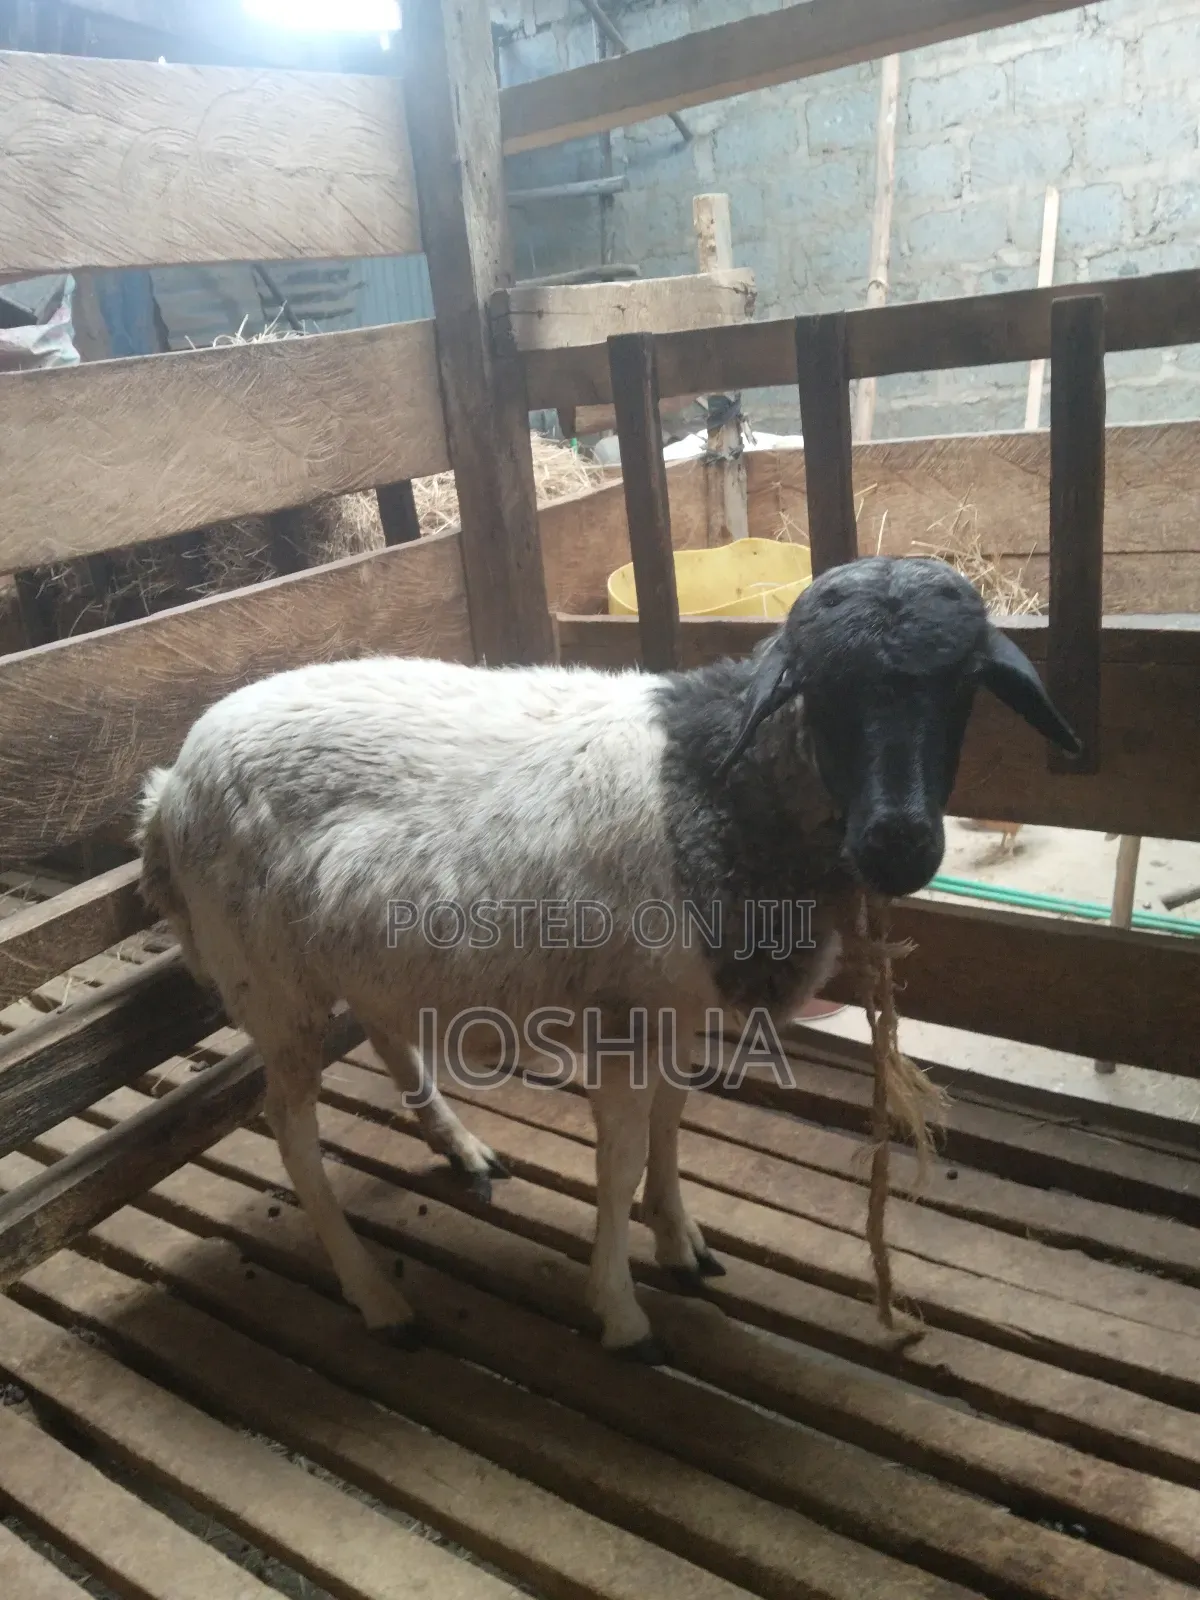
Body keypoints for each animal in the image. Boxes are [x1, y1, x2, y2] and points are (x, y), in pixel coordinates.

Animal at [135, 555, 1079, 1361]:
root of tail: (168, 785)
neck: (722, 784)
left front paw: (680, 1240)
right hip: (272, 986)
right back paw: (376, 1297)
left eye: (961, 689)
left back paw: (461, 1149)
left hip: (353, 951)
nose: (899, 845)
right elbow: (621, 1158)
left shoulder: (676, 1011)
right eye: (823, 691)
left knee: (385, 1030)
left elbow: (671, 1123)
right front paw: (621, 1312)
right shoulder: (625, 1020)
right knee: (291, 1131)